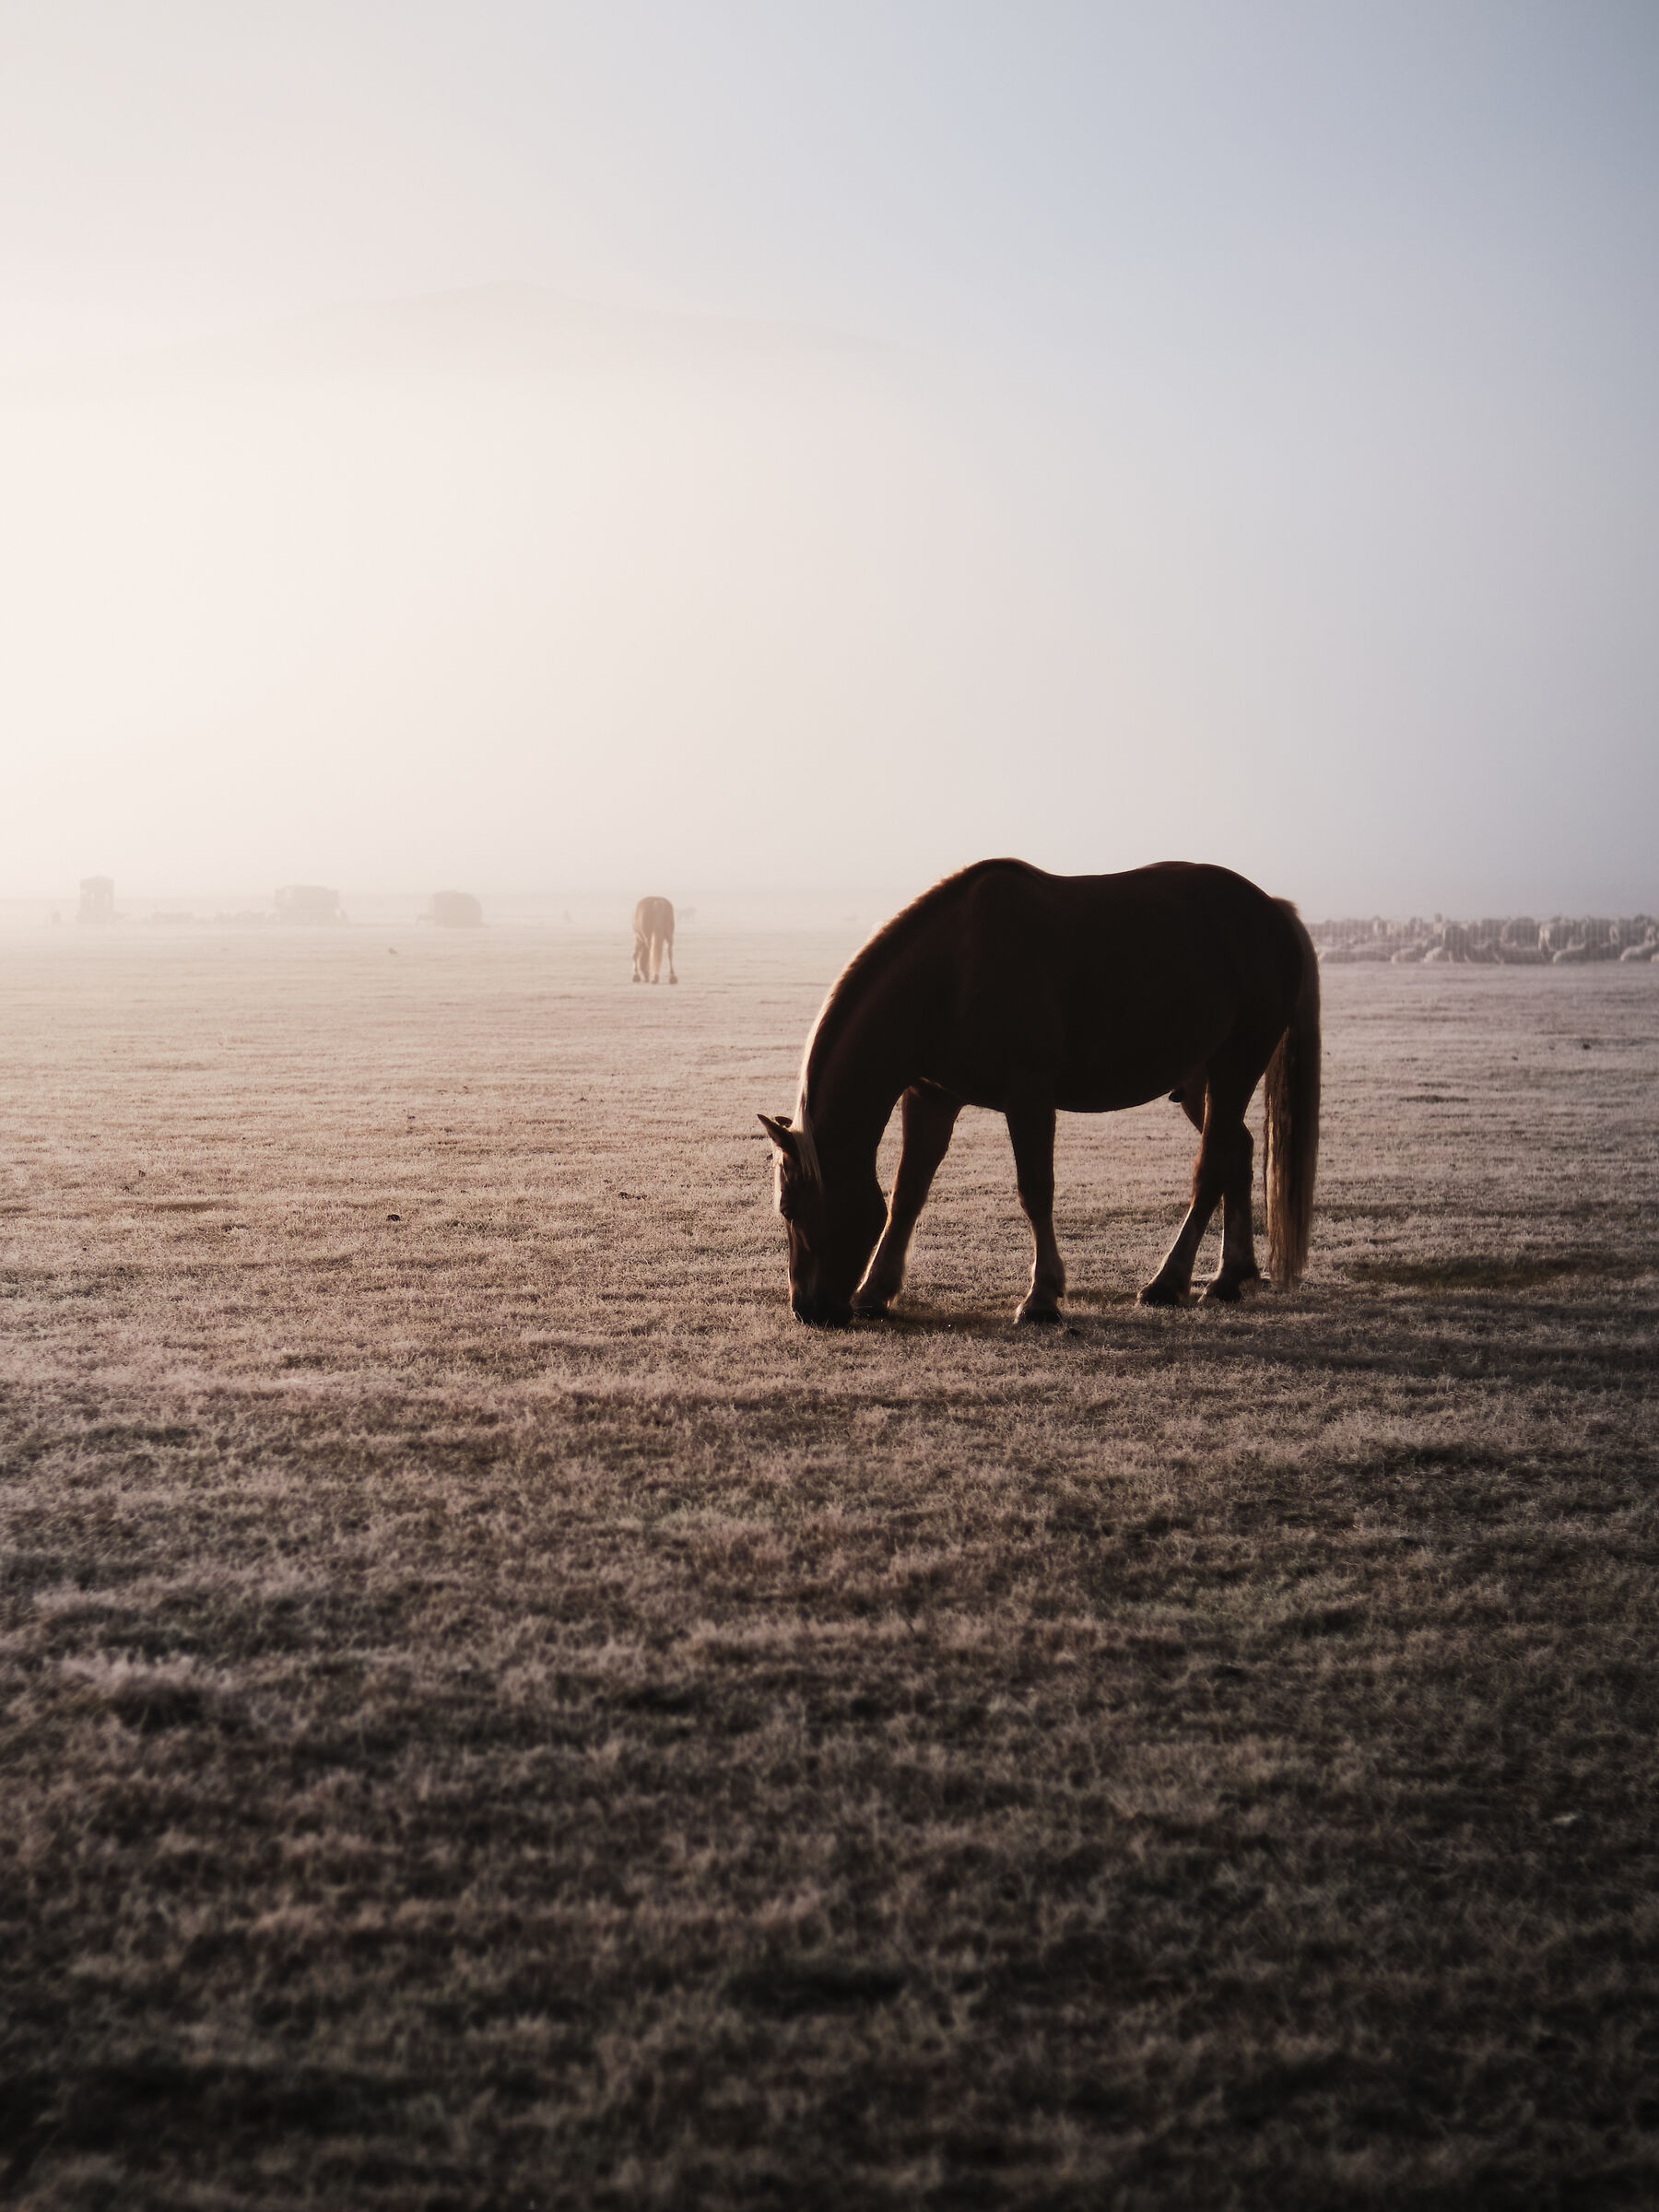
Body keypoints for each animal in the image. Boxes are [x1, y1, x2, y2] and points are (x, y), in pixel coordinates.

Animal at [760, 859, 1319, 1326]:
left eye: (789, 1209)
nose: (808, 1310)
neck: (953, 971)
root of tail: (1273, 911)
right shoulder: (930, 1098)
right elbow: (908, 1193)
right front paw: (876, 1291)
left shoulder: (1028, 1096)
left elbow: (1035, 1190)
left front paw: (1042, 1297)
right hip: (1201, 1078)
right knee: (1237, 1151)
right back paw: (1230, 1277)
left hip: (1236, 1064)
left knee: (1211, 1166)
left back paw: (1169, 1282)